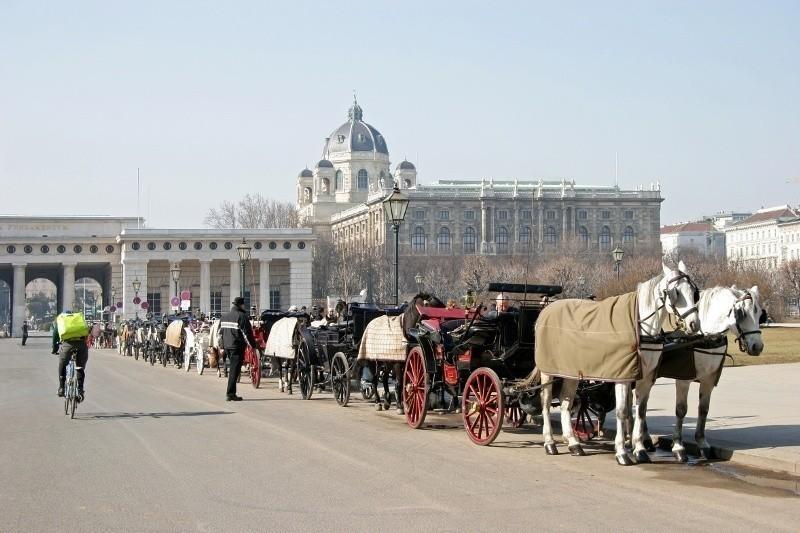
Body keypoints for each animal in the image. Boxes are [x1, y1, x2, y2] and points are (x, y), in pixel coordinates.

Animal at [536, 262, 700, 466]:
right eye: (675, 292)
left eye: (694, 292)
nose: (694, 324)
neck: (640, 327)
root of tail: (547, 309)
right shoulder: (622, 377)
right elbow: (622, 412)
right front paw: (622, 451)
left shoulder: (645, 378)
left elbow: (640, 411)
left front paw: (640, 449)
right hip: (547, 372)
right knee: (546, 403)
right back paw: (549, 442)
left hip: (570, 372)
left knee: (566, 403)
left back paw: (574, 443)